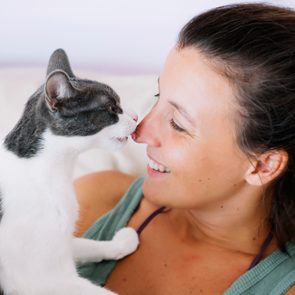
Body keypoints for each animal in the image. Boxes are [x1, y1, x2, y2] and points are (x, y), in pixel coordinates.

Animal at [0, 49, 140, 294]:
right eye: (112, 109)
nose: (135, 117)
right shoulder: (40, 278)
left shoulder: (63, 242)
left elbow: (87, 244)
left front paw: (120, 242)